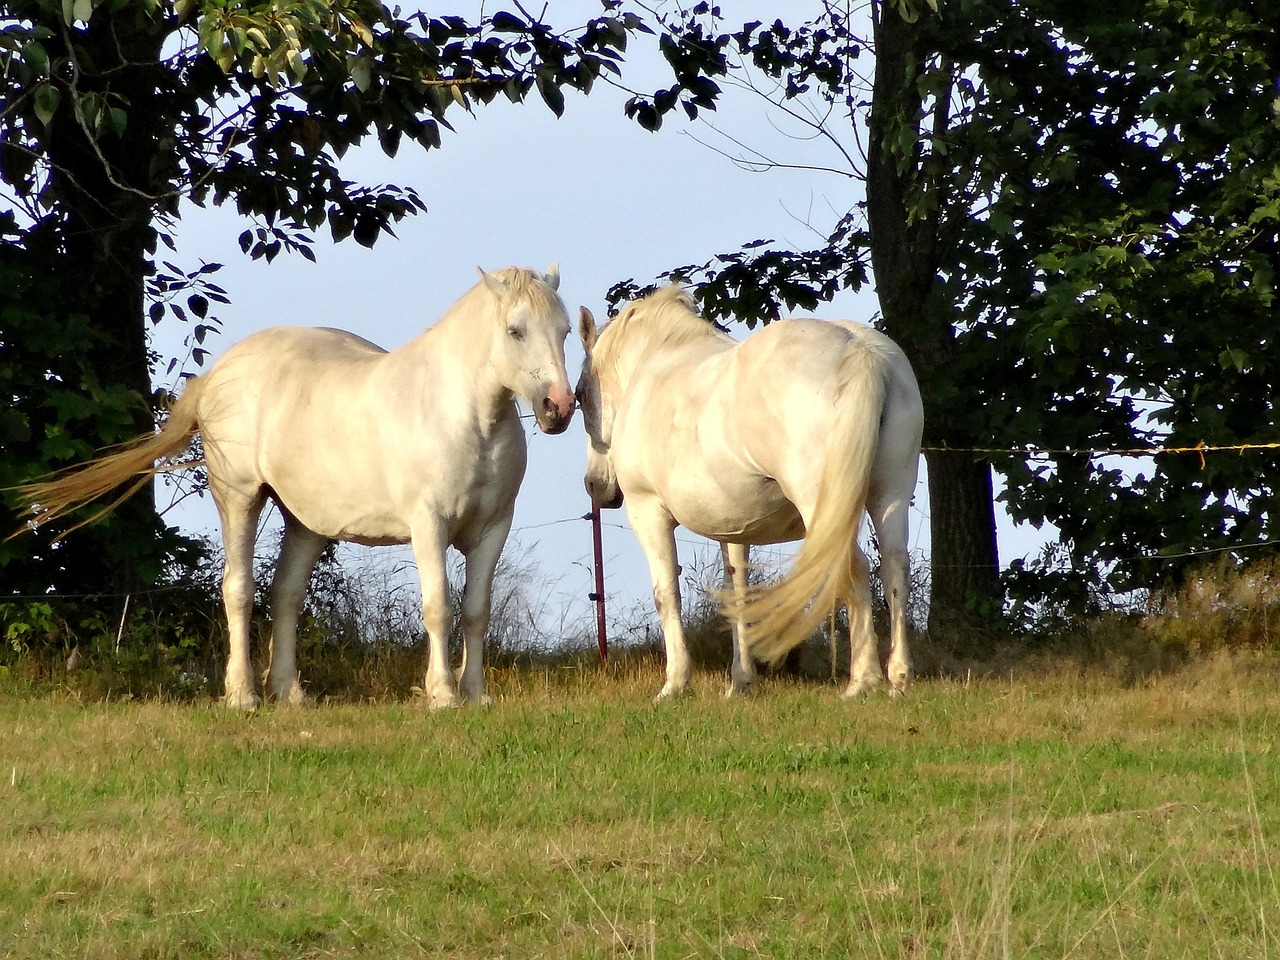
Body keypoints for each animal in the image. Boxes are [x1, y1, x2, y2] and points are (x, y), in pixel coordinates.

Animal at [15, 267, 573, 711]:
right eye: (515, 330)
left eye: (566, 331)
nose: (559, 407)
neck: (465, 415)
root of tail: (220, 371)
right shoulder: (427, 525)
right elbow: (439, 607)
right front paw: (442, 696)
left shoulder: (492, 529)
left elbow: (476, 612)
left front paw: (476, 694)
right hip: (238, 497)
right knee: (239, 591)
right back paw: (242, 694)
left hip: (304, 522)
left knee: (284, 596)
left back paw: (290, 692)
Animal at [578, 285, 921, 701]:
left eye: (580, 395)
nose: (595, 486)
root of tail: (861, 351)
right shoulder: (734, 528)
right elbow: (737, 594)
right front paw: (739, 682)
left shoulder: (649, 512)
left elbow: (666, 593)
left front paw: (674, 684)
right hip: (891, 495)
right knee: (894, 567)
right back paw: (899, 678)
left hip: (824, 507)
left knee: (853, 568)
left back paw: (862, 681)